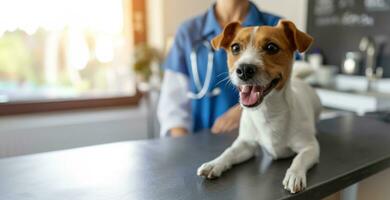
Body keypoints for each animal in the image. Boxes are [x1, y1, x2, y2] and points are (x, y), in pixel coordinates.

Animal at [197, 19, 322, 193]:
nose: (244, 69)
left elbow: (299, 159)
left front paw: (295, 174)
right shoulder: (246, 145)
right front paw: (215, 163)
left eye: (271, 47)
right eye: (235, 48)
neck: (267, 112)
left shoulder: (310, 147)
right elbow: (229, 152)